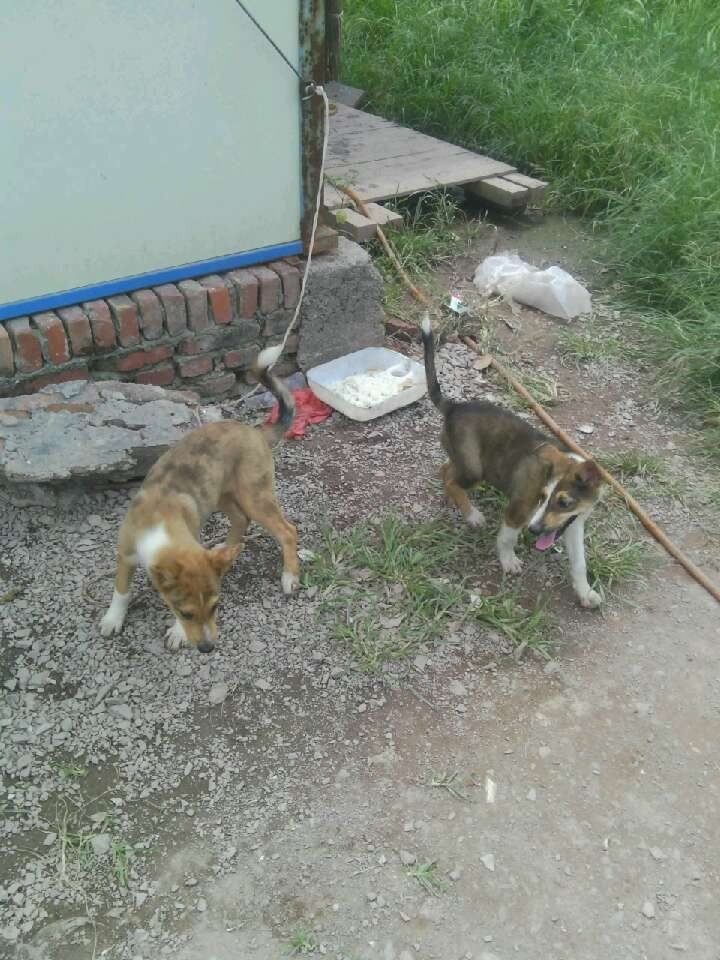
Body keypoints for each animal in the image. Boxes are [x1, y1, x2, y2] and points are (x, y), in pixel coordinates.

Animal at [100, 344, 299, 652]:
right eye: (186, 613)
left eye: (216, 607)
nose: (207, 648)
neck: (159, 520)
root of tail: (255, 432)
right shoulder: (125, 554)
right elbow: (121, 591)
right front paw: (113, 619)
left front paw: (176, 633)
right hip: (221, 493)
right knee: (241, 520)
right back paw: (225, 551)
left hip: (254, 494)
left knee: (287, 530)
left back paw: (289, 577)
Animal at [421, 316, 603, 608]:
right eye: (542, 497)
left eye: (564, 503)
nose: (534, 530)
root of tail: (454, 406)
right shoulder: (519, 509)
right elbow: (507, 539)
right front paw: (508, 561)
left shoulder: (573, 525)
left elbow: (579, 563)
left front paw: (584, 593)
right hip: (474, 469)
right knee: (449, 478)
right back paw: (472, 515)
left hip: (469, 463)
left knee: (445, 468)